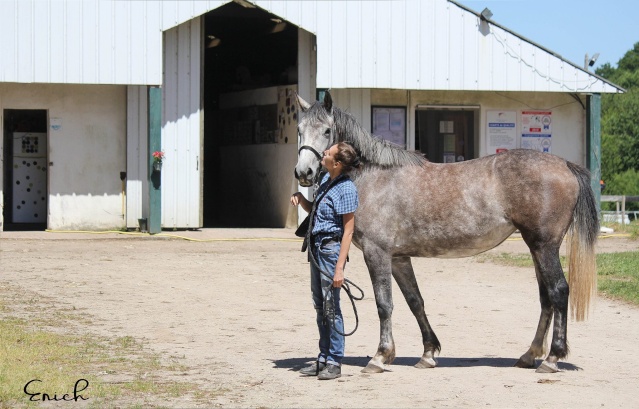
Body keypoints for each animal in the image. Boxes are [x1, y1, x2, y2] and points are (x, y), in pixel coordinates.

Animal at [296, 91, 600, 372]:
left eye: (326, 130)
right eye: (299, 129)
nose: (304, 172)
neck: (374, 177)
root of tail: (565, 165)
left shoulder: (377, 253)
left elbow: (384, 304)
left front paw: (380, 356)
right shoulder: (398, 258)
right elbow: (414, 301)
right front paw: (428, 353)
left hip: (544, 246)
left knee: (558, 291)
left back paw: (552, 358)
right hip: (536, 247)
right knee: (546, 297)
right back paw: (529, 355)